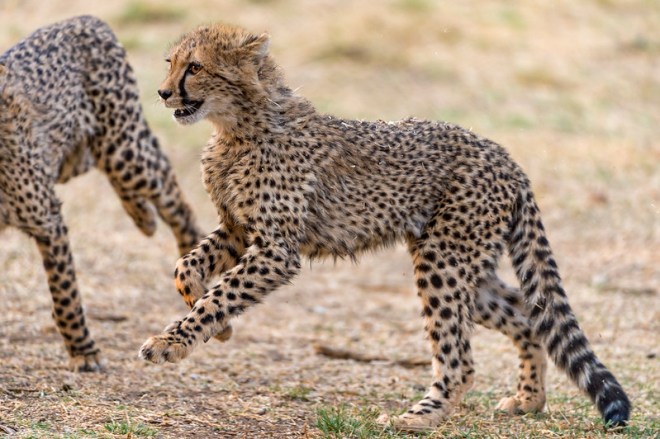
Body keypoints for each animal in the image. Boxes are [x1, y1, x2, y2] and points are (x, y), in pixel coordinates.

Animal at [0, 15, 203, 372]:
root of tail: (85, 19)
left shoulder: (48, 221)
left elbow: (64, 293)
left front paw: (83, 352)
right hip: (80, 154)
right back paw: (143, 218)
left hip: (124, 149)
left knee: (173, 197)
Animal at [138, 23, 631, 430]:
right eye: (170, 63)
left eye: (195, 67)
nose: (162, 93)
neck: (237, 128)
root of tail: (503, 155)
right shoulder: (239, 230)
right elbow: (186, 268)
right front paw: (213, 325)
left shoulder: (276, 250)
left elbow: (219, 297)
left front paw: (173, 341)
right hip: (467, 266)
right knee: (530, 316)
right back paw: (528, 399)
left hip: (443, 261)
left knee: (459, 356)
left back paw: (421, 415)